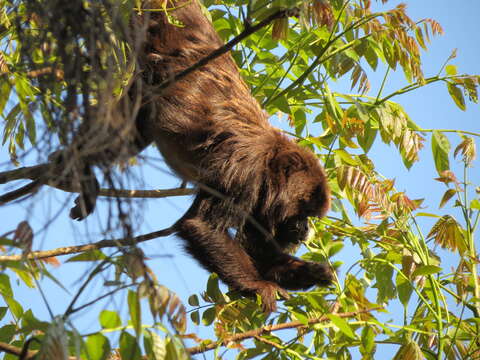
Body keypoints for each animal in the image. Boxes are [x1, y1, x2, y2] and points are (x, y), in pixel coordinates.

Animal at [67, 0, 332, 310]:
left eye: (310, 217)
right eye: (304, 212)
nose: (305, 228)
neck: (270, 163)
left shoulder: (262, 200)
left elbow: (259, 252)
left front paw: (314, 272)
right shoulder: (244, 173)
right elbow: (202, 227)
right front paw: (259, 286)